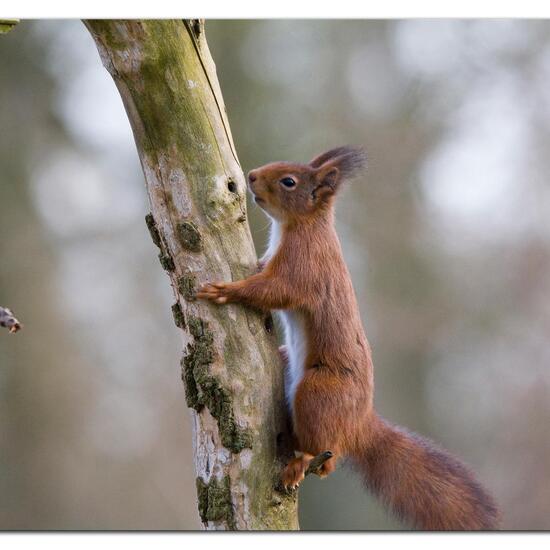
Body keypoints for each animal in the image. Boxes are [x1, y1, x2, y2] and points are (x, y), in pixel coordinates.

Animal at [197, 147, 500, 532]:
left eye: (289, 181)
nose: (250, 176)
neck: (304, 226)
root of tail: (359, 422)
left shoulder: (304, 266)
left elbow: (274, 290)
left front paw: (226, 291)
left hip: (318, 392)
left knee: (327, 454)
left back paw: (302, 462)